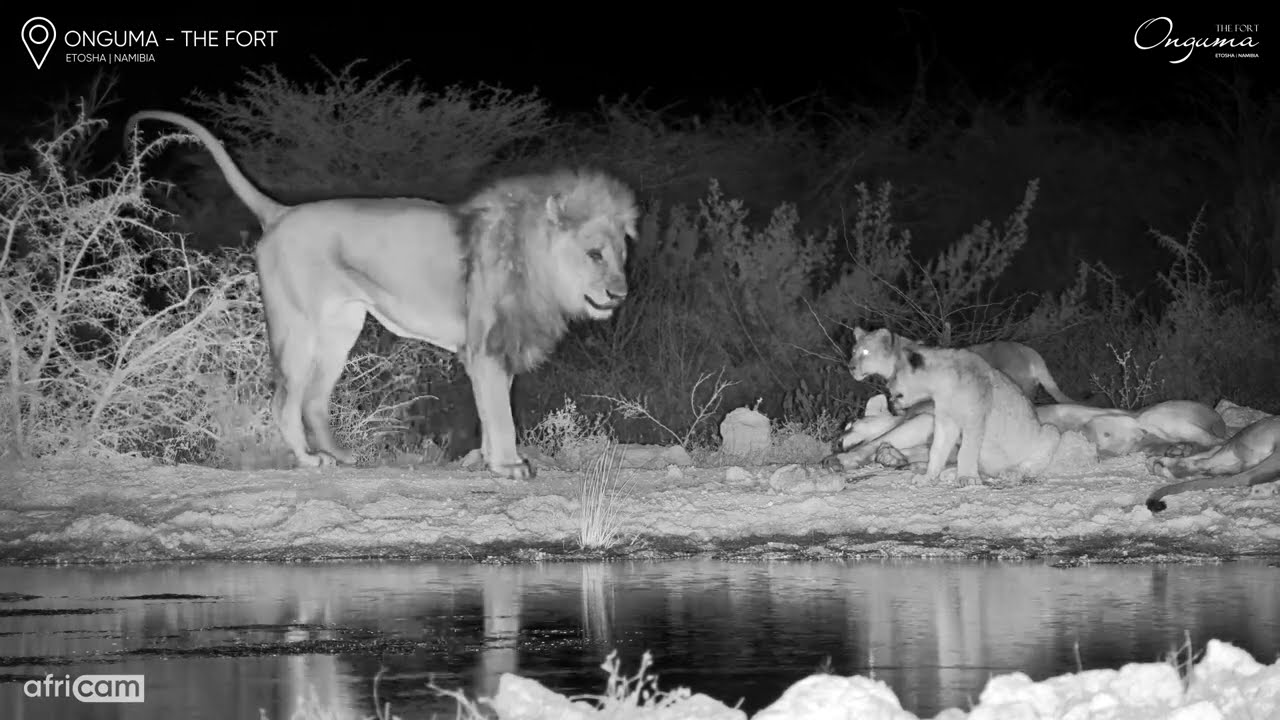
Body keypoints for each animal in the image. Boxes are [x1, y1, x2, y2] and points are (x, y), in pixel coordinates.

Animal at [126, 110, 638, 479]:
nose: (620, 293)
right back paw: (310, 460)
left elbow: (493, 412)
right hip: (297, 329)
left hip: (341, 329)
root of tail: (281, 212)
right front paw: (508, 465)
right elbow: (501, 415)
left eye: (621, 255)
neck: (537, 264)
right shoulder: (486, 347)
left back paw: (341, 456)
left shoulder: (497, 348)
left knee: (313, 400)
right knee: (283, 402)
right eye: (594, 254)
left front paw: (487, 460)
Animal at [885, 346, 1062, 485]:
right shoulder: (946, 422)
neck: (943, 388)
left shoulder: (974, 420)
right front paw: (927, 477)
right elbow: (937, 450)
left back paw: (1011, 473)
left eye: (895, 374)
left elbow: (966, 451)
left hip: (1050, 431)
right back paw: (950, 473)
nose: (886, 386)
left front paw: (966, 478)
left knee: (1030, 466)